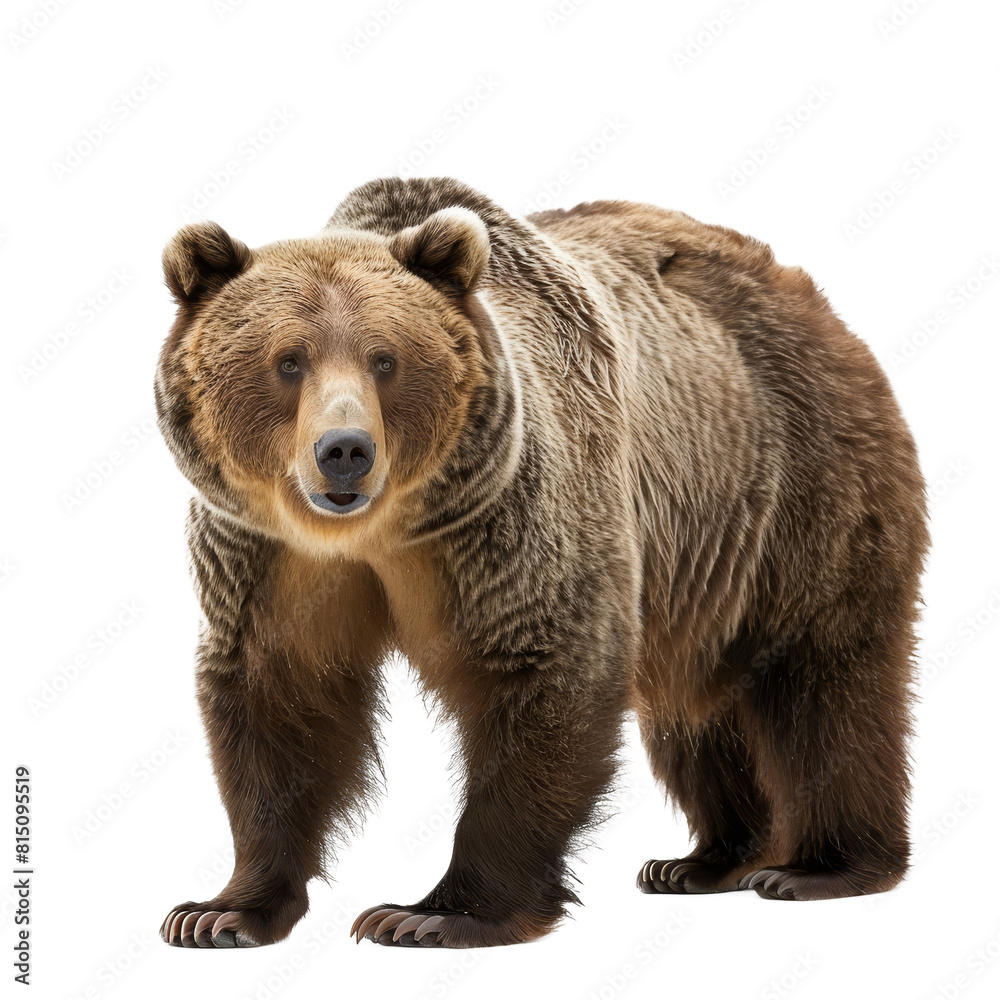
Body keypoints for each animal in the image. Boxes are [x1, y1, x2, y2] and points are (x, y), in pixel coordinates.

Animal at [155, 176, 929, 950]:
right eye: (289, 360)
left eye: (385, 359)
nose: (345, 449)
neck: (378, 532)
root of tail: (815, 301)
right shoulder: (270, 557)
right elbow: (278, 699)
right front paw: (219, 911)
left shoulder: (511, 524)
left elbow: (545, 673)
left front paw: (431, 913)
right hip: (706, 569)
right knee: (695, 709)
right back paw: (704, 860)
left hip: (801, 492)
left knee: (825, 687)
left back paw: (819, 867)